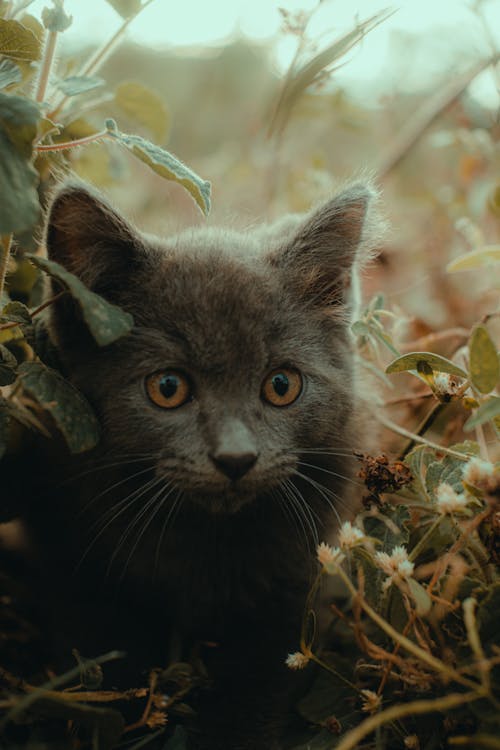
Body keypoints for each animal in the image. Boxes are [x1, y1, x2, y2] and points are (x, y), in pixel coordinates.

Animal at [18, 182, 382, 750]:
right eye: (168, 387)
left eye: (282, 385)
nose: (236, 457)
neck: (204, 542)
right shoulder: (77, 570)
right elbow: (109, 674)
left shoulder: (286, 589)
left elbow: (255, 693)